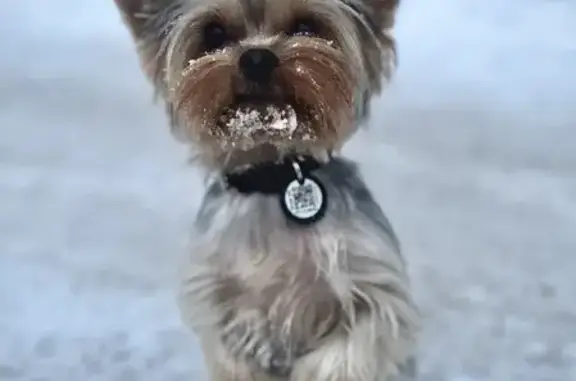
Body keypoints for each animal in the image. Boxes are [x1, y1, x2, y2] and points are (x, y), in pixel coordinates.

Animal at [113, 0, 418, 380]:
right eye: (214, 33)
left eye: (306, 26)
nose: (256, 58)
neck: (271, 178)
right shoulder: (219, 300)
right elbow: (234, 357)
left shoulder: (373, 291)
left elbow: (347, 351)